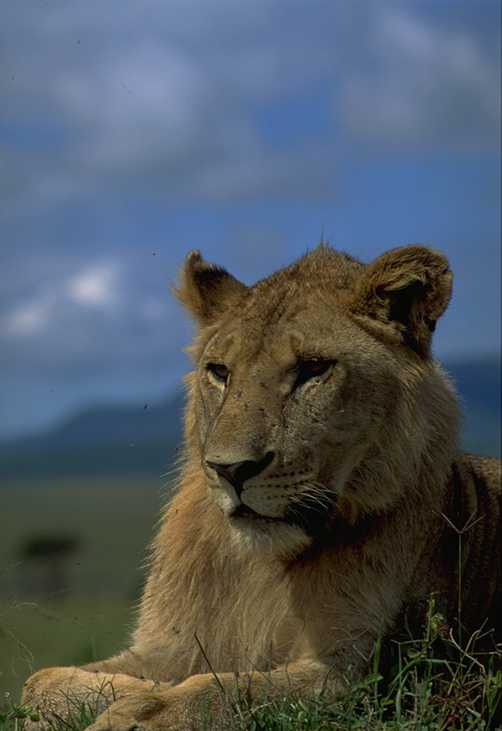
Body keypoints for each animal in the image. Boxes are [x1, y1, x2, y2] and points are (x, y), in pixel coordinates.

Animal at [22, 244, 501, 730]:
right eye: (219, 372)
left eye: (313, 369)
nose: (230, 469)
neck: (263, 567)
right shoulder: (170, 644)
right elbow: (40, 681)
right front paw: (133, 691)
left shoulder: (365, 679)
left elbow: (228, 688)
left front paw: (143, 709)